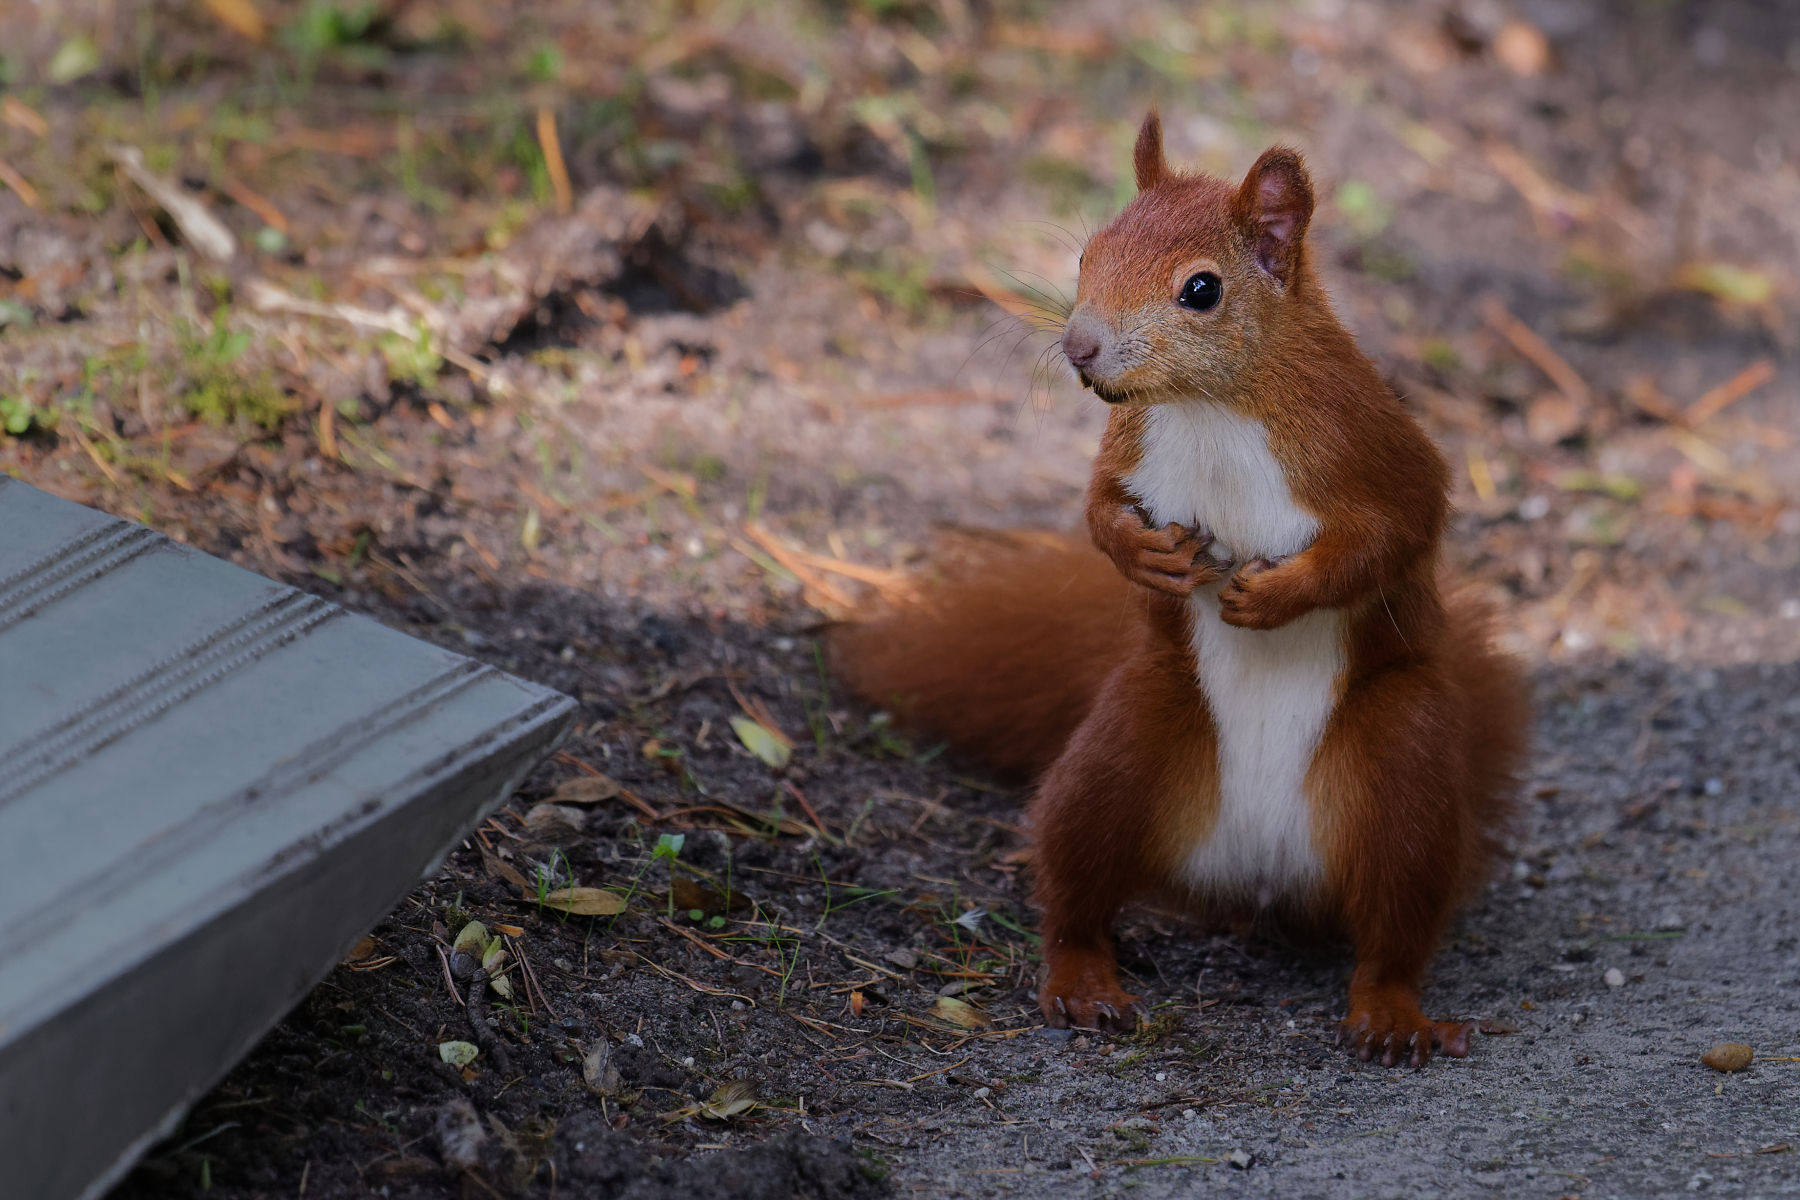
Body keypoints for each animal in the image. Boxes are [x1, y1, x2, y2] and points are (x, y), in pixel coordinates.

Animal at [833, 112, 1529, 1068]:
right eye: (1085, 255)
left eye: (1202, 290)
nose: (1079, 347)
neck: (1211, 406)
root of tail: (1262, 874)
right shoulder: (1130, 446)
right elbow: (1097, 508)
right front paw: (1143, 554)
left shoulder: (1372, 448)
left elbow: (1394, 534)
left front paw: (1276, 597)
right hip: (1127, 742)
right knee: (1076, 885)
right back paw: (1084, 982)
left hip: (1403, 766)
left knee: (1394, 922)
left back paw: (1390, 1014)